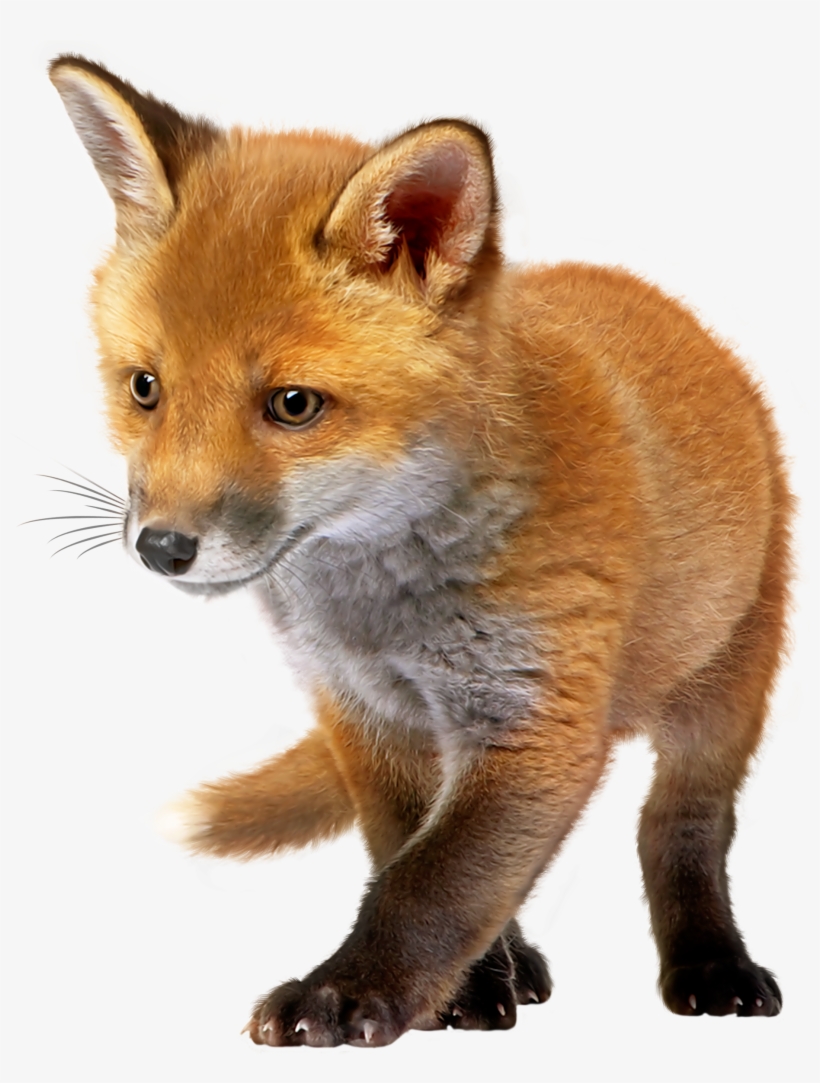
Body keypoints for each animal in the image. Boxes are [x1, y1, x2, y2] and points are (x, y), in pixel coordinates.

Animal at [48, 54, 791, 1047]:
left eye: (293, 405)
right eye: (144, 388)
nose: (162, 546)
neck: (382, 607)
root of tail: (667, 306)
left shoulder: (540, 716)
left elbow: (432, 884)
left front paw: (346, 993)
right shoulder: (366, 711)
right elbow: (410, 851)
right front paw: (469, 989)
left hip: (728, 683)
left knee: (681, 826)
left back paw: (711, 963)